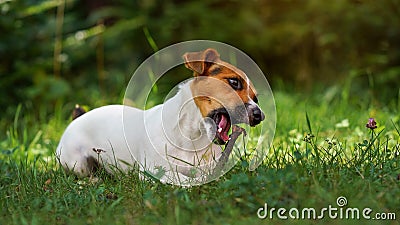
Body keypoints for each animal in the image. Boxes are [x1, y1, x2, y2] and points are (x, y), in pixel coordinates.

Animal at [54, 49, 264, 185]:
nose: (259, 115)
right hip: (76, 162)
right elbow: (181, 177)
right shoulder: (152, 171)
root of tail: (78, 117)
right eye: (234, 82)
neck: (192, 136)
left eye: (255, 98)